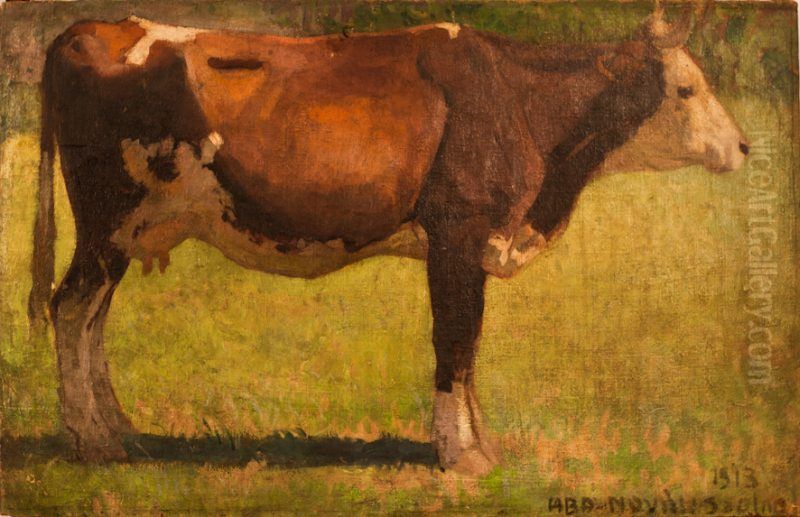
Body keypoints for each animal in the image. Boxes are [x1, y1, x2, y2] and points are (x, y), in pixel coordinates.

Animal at [27, 9, 748, 475]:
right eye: (686, 88)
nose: (743, 147)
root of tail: (93, 27)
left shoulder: (471, 247)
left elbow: (469, 347)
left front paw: (480, 446)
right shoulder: (459, 235)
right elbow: (454, 341)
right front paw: (462, 456)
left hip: (127, 231)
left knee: (91, 318)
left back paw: (120, 429)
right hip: (107, 220)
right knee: (70, 307)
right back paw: (92, 442)